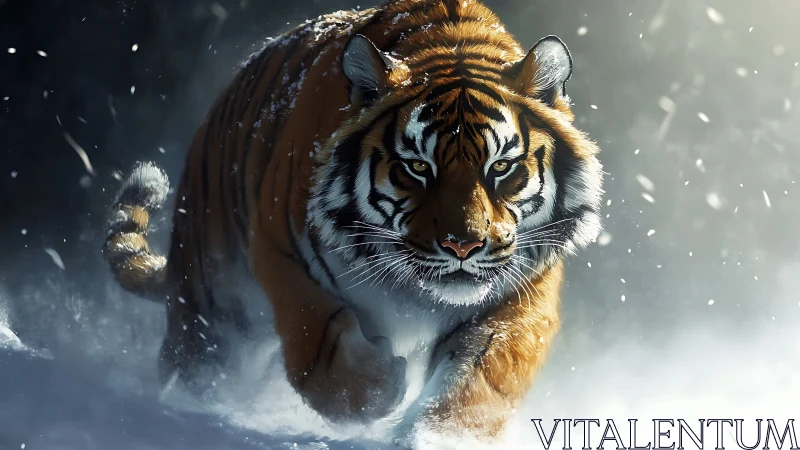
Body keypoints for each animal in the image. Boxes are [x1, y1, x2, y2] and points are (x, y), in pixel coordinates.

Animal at [103, 0, 603, 446]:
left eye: (500, 167)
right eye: (417, 167)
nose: (462, 246)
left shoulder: (522, 293)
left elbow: (480, 380)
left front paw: (436, 437)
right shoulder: (282, 253)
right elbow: (319, 345)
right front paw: (384, 383)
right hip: (214, 316)